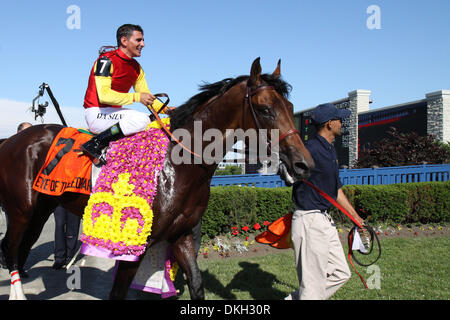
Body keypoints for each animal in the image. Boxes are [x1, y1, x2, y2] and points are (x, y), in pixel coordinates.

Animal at [0, 58, 312, 300]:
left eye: (290, 106)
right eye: (265, 109)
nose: (304, 164)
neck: (178, 162)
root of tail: (11, 140)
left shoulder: (181, 234)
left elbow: (196, 285)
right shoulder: (132, 246)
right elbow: (117, 293)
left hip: (42, 209)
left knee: (20, 248)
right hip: (20, 210)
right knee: (11, 249)